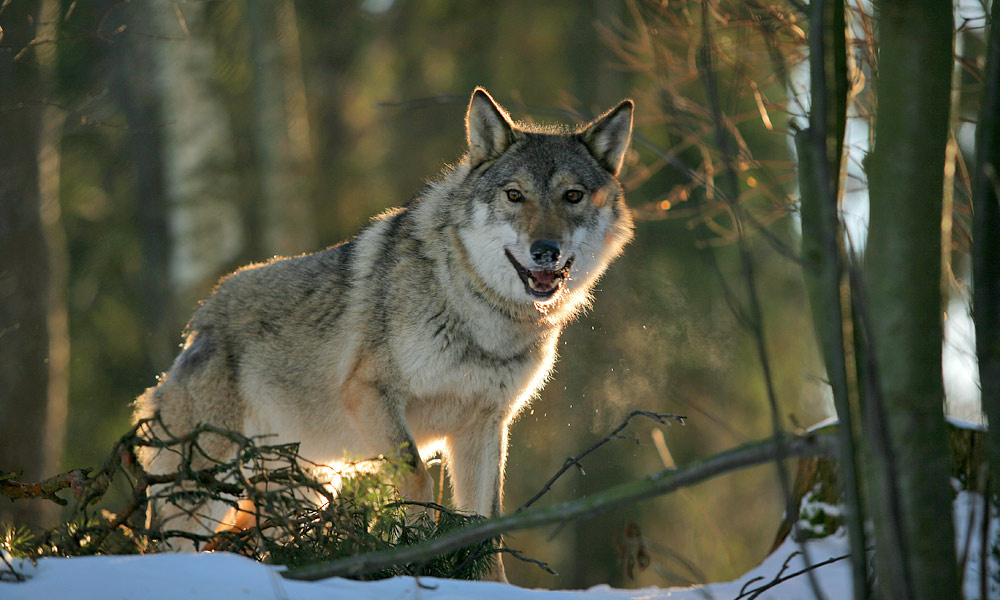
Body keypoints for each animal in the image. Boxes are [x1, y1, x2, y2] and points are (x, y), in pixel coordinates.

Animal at [134, 88, 634, 581]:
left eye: (572, 196)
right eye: (515, 195)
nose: (545, 251)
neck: (481, 313)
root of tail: (198, 327)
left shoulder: (484, 424)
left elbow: (484, 524)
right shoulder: (371, 395)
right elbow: (418, 480)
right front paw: (418, 560)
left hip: (299, 487)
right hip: (205, 490)